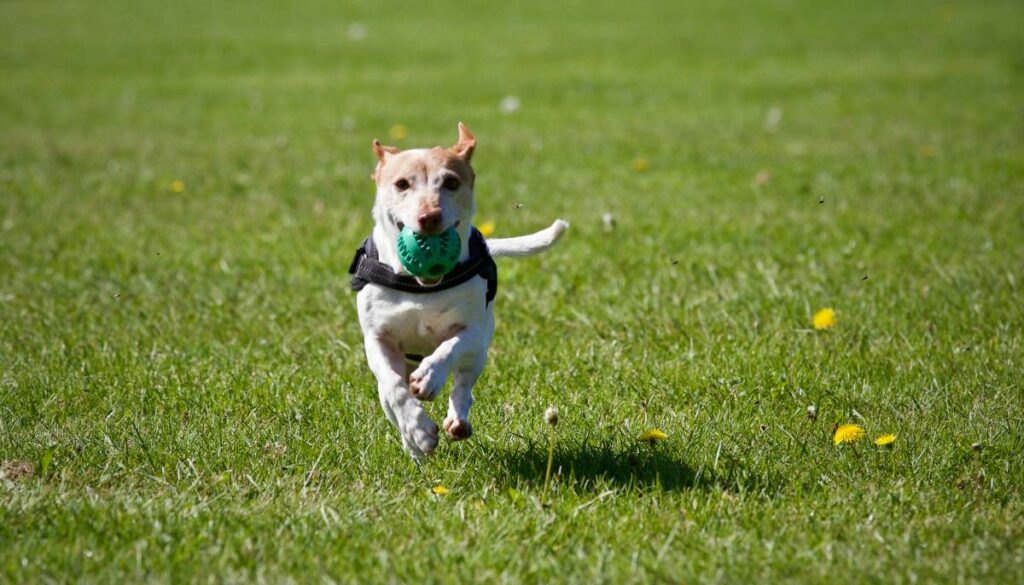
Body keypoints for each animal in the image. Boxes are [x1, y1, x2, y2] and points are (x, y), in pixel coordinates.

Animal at [350, 123, 569, 461]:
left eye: (451, 182)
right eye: (402, 184)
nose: (429, 217)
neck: (419, 286)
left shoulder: (472, 332)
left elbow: (449, 349)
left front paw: (429, 377)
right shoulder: (377, 340)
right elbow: (395, 389)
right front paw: (418, 430)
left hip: (479, 352)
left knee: (464, 384)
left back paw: (457, 419)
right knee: (391, 399)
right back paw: (414, 448)